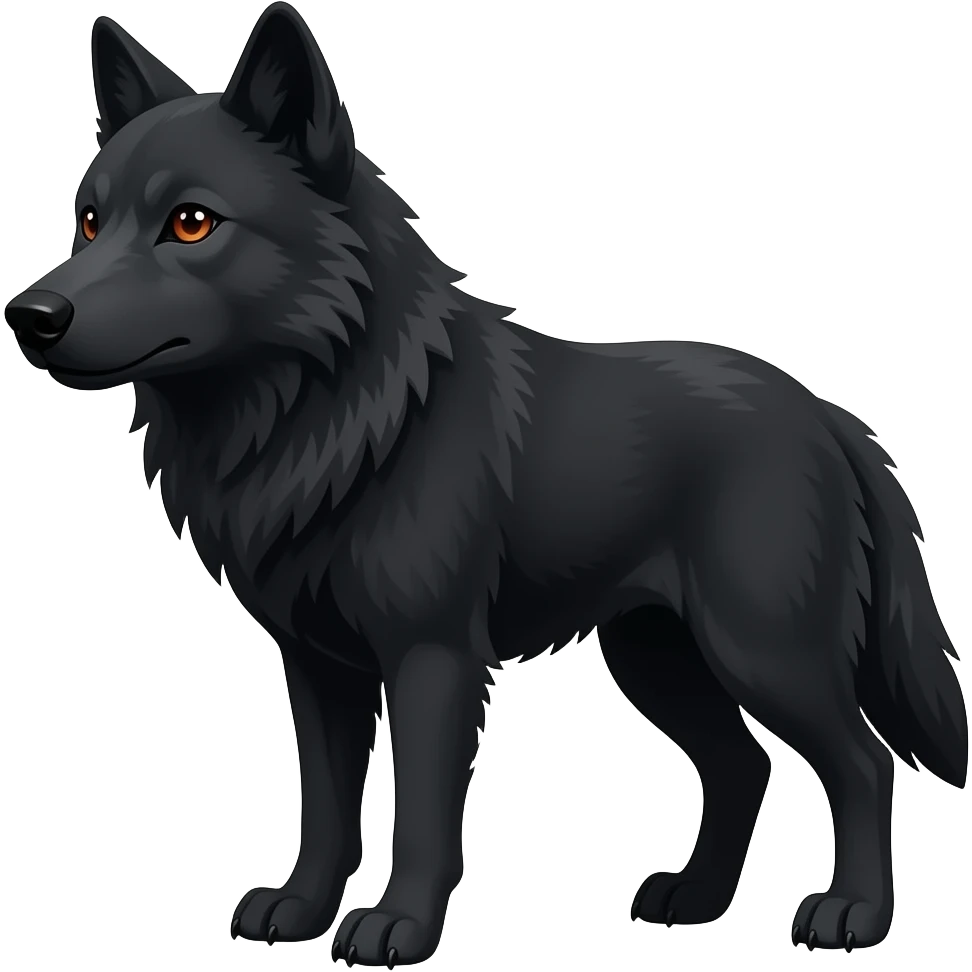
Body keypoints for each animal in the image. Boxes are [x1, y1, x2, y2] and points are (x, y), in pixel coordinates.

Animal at [3, 3, 967, 963]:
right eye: (89, 222)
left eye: (192, 223)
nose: (29, 315)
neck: (339, 416)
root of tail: (830, 417)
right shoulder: (317, 669)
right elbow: (326, 809)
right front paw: (302, 910)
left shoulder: (433, 657)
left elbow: (425, 813)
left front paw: (399, 925)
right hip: (654, 656)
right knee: (744, 763)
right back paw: (695, 899)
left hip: (762, 651)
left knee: (863, 763)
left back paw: (852, 914)